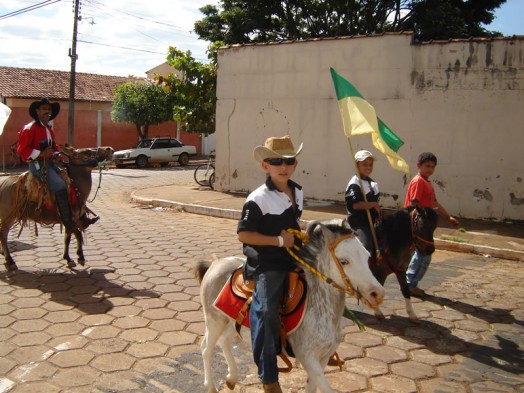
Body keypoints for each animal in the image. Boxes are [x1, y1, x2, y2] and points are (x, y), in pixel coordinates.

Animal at [194, 219, 382, 390]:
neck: (317, 305)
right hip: (214, 320)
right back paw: (210, 386)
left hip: (230, 322)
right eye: (344, 261)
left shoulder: (322, 358)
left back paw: (231, 378)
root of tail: (215, 263)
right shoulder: (308, 357)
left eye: (367, 256)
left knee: (224, 341)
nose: (377, 294)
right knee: (206, 348)